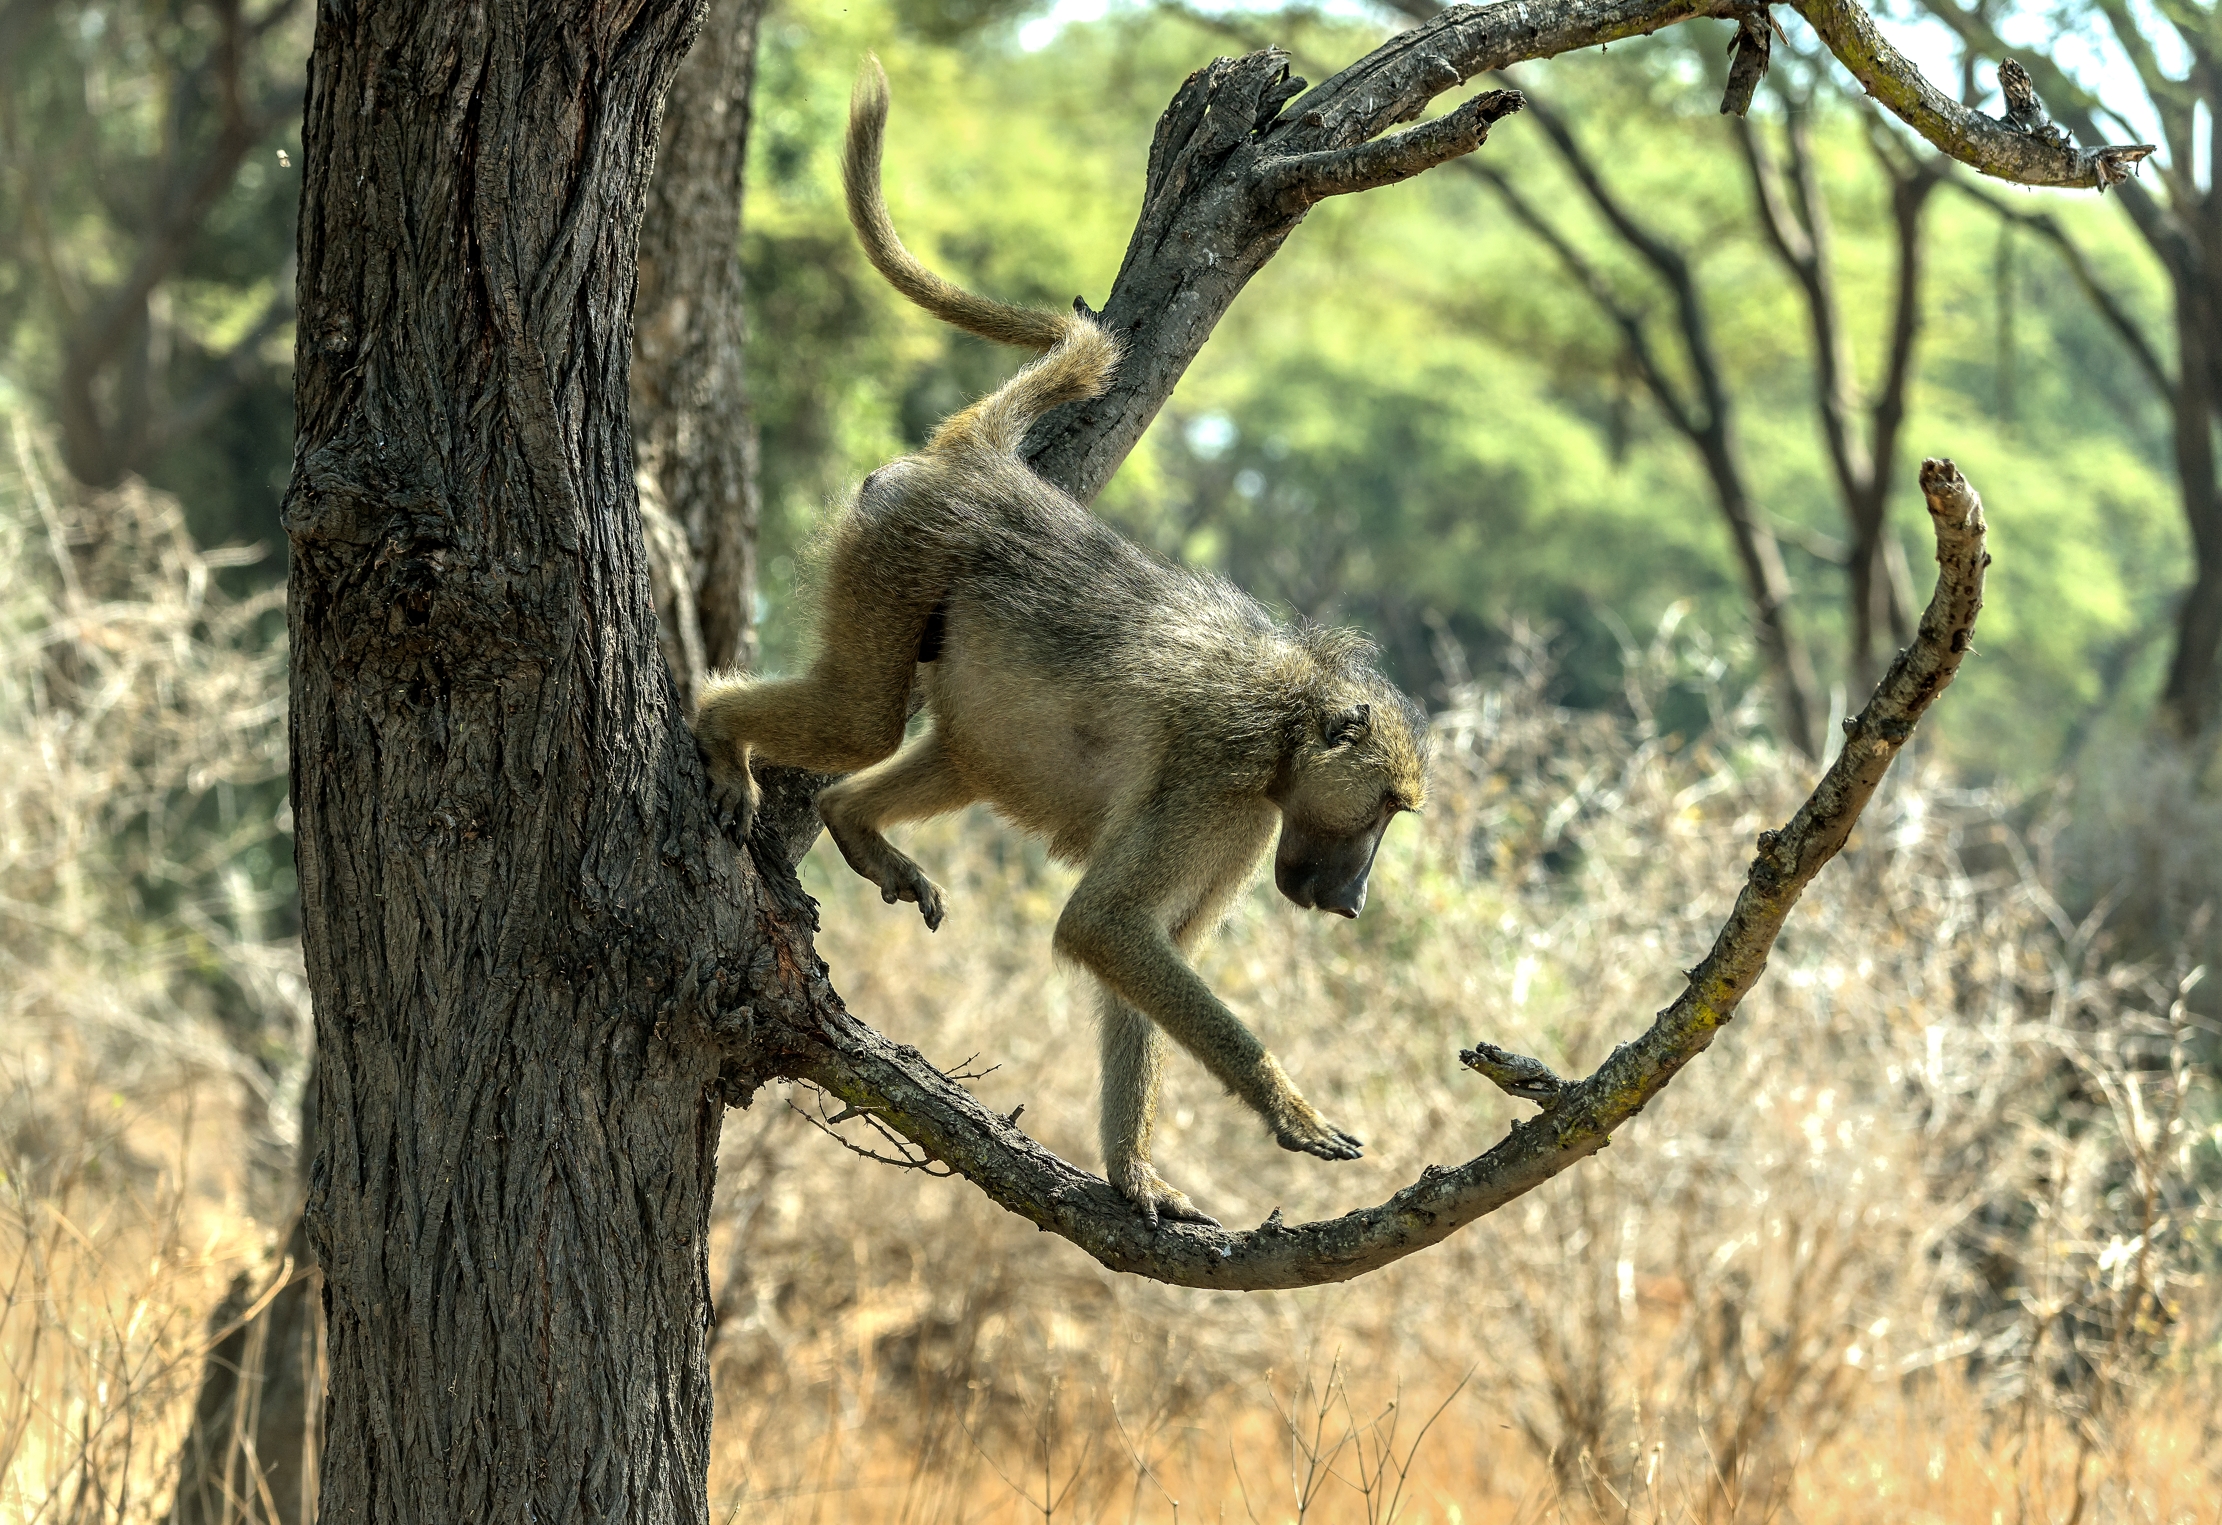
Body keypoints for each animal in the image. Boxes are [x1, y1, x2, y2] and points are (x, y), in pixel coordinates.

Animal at [693, 58, 1430, 1226]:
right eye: (1387, 811)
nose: (1353, 900)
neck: (1285, 716)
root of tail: (983, 464)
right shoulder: (1219, 787)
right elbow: (1107, 927)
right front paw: (1288, 1107)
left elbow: (1138, 948)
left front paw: (1134, 1173)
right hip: (898, 545)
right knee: (858, 720)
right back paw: (719, 731)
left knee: (941, 753)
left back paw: (857, 826)